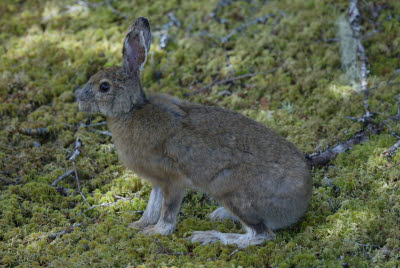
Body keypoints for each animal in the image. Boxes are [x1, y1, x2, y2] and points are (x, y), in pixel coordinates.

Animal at [76, 16, 312, 247]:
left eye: (104, 86)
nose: (79, 100)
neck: (131, 111)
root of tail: (300, 203)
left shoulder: (172, 179)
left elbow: (167, 212)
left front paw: (155, 232)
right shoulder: (158, 181)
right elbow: (153, 205)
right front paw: (138, 224)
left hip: (232, 191)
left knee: (261, 234)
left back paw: (208, 236)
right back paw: (220, 215)